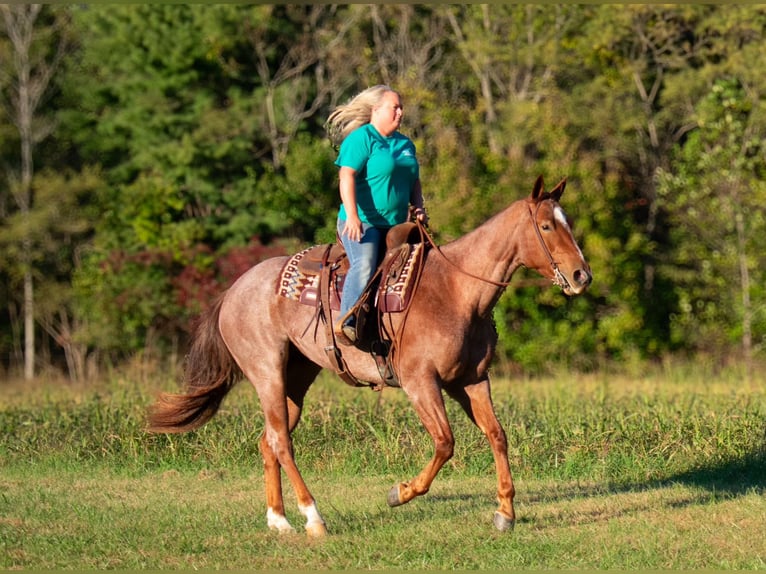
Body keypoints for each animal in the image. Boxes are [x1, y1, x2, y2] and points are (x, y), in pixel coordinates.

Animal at [148, 177, 592, 540]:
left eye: (567, 221)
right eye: (547, 226)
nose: (581, 275)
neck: (456, 291)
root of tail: (233, 291)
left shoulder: (470, 380)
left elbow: (497, 435)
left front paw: (505, 512)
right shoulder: (420, 382)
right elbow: (445, 442)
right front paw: (400, 493)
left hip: (296, 379)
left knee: (269, 439)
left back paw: (279, 520)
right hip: (267, 373)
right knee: (282, 443)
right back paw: (313, 518)